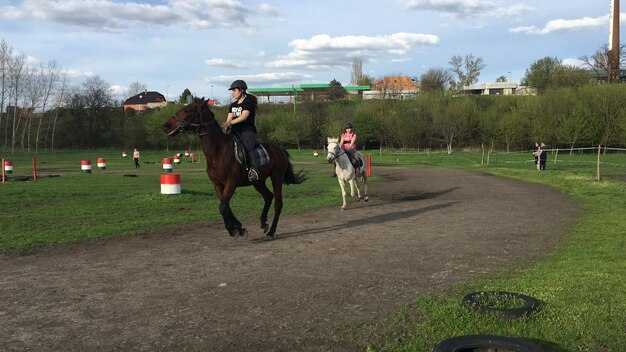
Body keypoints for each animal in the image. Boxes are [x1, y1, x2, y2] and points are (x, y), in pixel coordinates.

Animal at [162, 97, 304, 238]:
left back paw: (271, 231)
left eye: (188, 110)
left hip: (276, 177)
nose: (166, 125)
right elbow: (225, 205)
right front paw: (239, 228)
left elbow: (223, 207)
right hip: (258, 182)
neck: (219, 151)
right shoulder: (218, 185)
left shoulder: (231, 183)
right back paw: (264, 223)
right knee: (268, 197)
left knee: (278, 203)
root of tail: (279, 148)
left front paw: (233, 230)